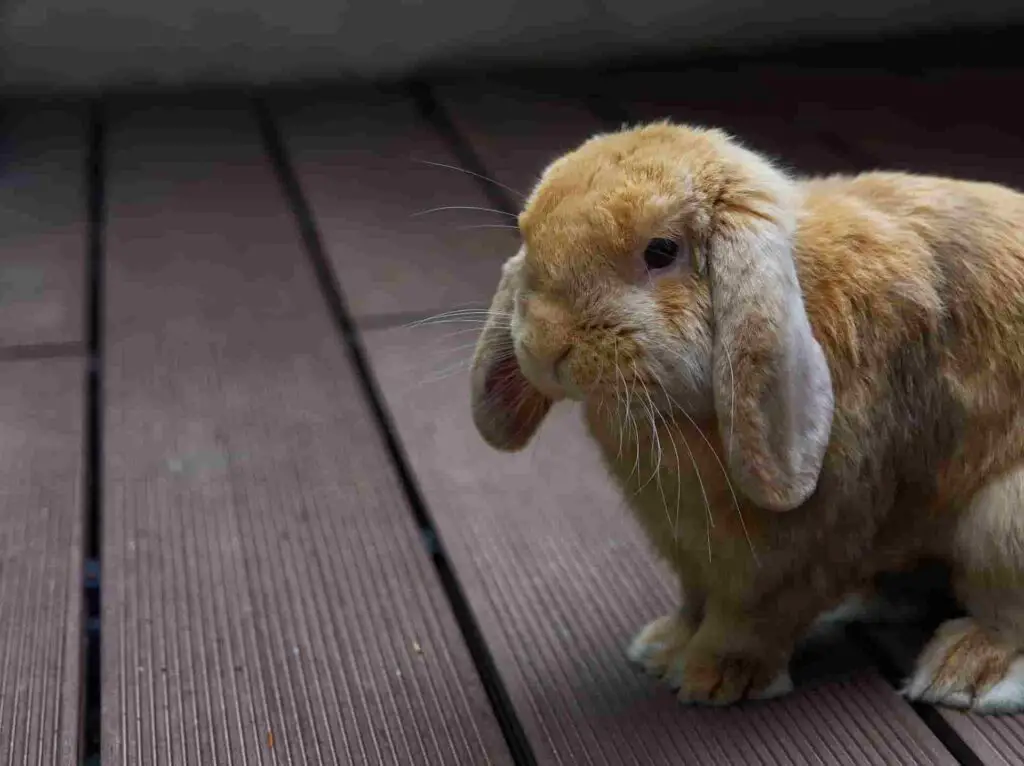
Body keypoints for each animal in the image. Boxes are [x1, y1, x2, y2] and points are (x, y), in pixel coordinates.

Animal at [468, 119, 1024, 712]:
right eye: (527, 237)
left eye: (661, 251)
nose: (545, 346)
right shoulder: (686, 549)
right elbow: (694, 600)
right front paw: (662, 646)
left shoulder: (798, 546)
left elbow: (753, 618)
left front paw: (712, 678)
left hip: (998, 522)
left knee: (1002, 612)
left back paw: (962, 671)